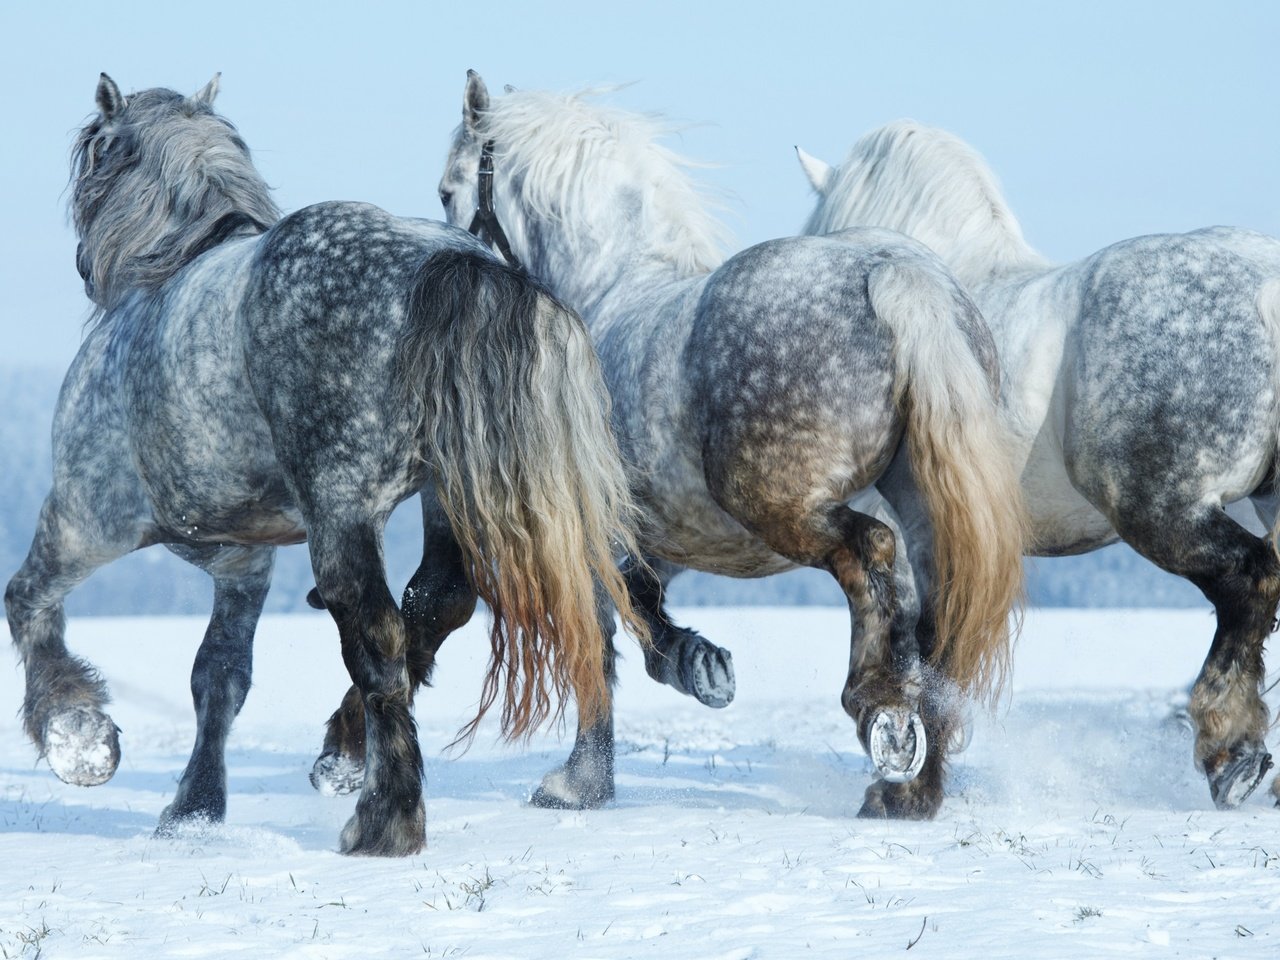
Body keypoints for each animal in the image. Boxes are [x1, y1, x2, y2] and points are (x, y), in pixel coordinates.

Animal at [793, 122, 1280, 814]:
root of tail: (1263, 281)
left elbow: (923, 648)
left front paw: (906, 790)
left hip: (1164, 509)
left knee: (1249, 580)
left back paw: (1229, 751)